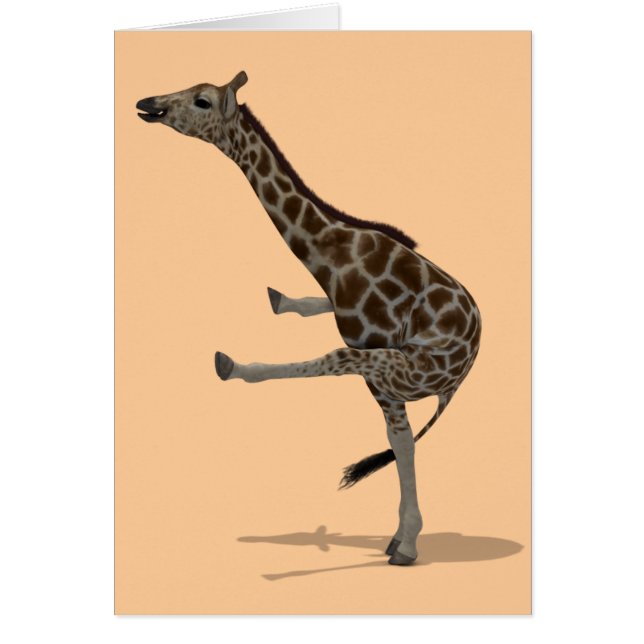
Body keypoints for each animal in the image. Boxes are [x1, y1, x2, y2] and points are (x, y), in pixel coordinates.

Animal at [137, 71, 481, 565]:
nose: (148, 103)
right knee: (400, 438)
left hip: (403, 369)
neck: (334, 254)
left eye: (201, 101)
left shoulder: (378, 360)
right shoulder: (380, 378)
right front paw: (402, 538)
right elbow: (400, 442)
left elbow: (337, 374)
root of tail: (461, 376)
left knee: (344, 372)